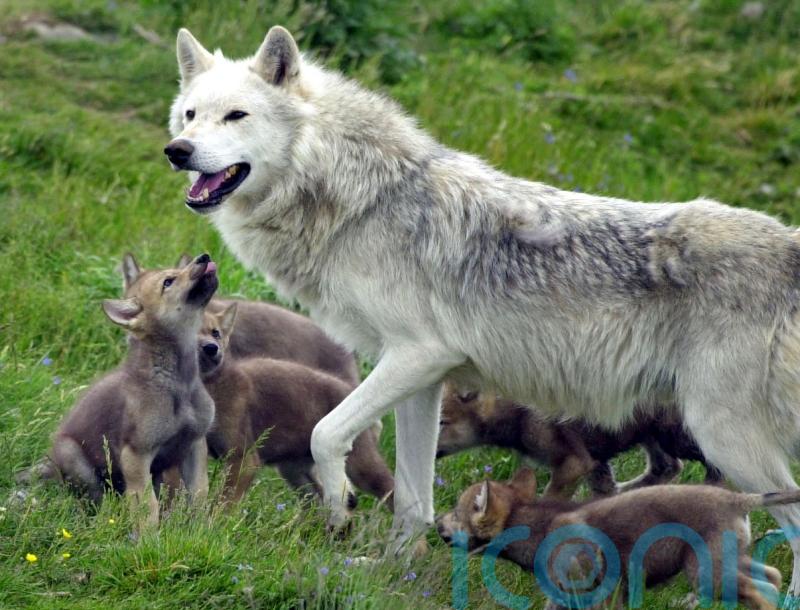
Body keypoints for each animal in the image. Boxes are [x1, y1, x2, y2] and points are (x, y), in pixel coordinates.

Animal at [49, 254, 217, 527]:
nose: (205, 257)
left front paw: (201, 529)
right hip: (75, 458)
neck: (178, 384)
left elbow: (199, 494)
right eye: (168, 282)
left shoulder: (194, 445)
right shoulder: (135, 454)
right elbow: (148, 506)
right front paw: (149, 537)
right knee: (96, 499)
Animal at [438, 468, 790, 610]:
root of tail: (738, 499)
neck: (538, 527)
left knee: (764, 591)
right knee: (773, 577)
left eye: (456, 513)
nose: (436, 523)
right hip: (731, 561)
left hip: (706, 575)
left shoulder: (602, 595)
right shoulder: (563, 598)